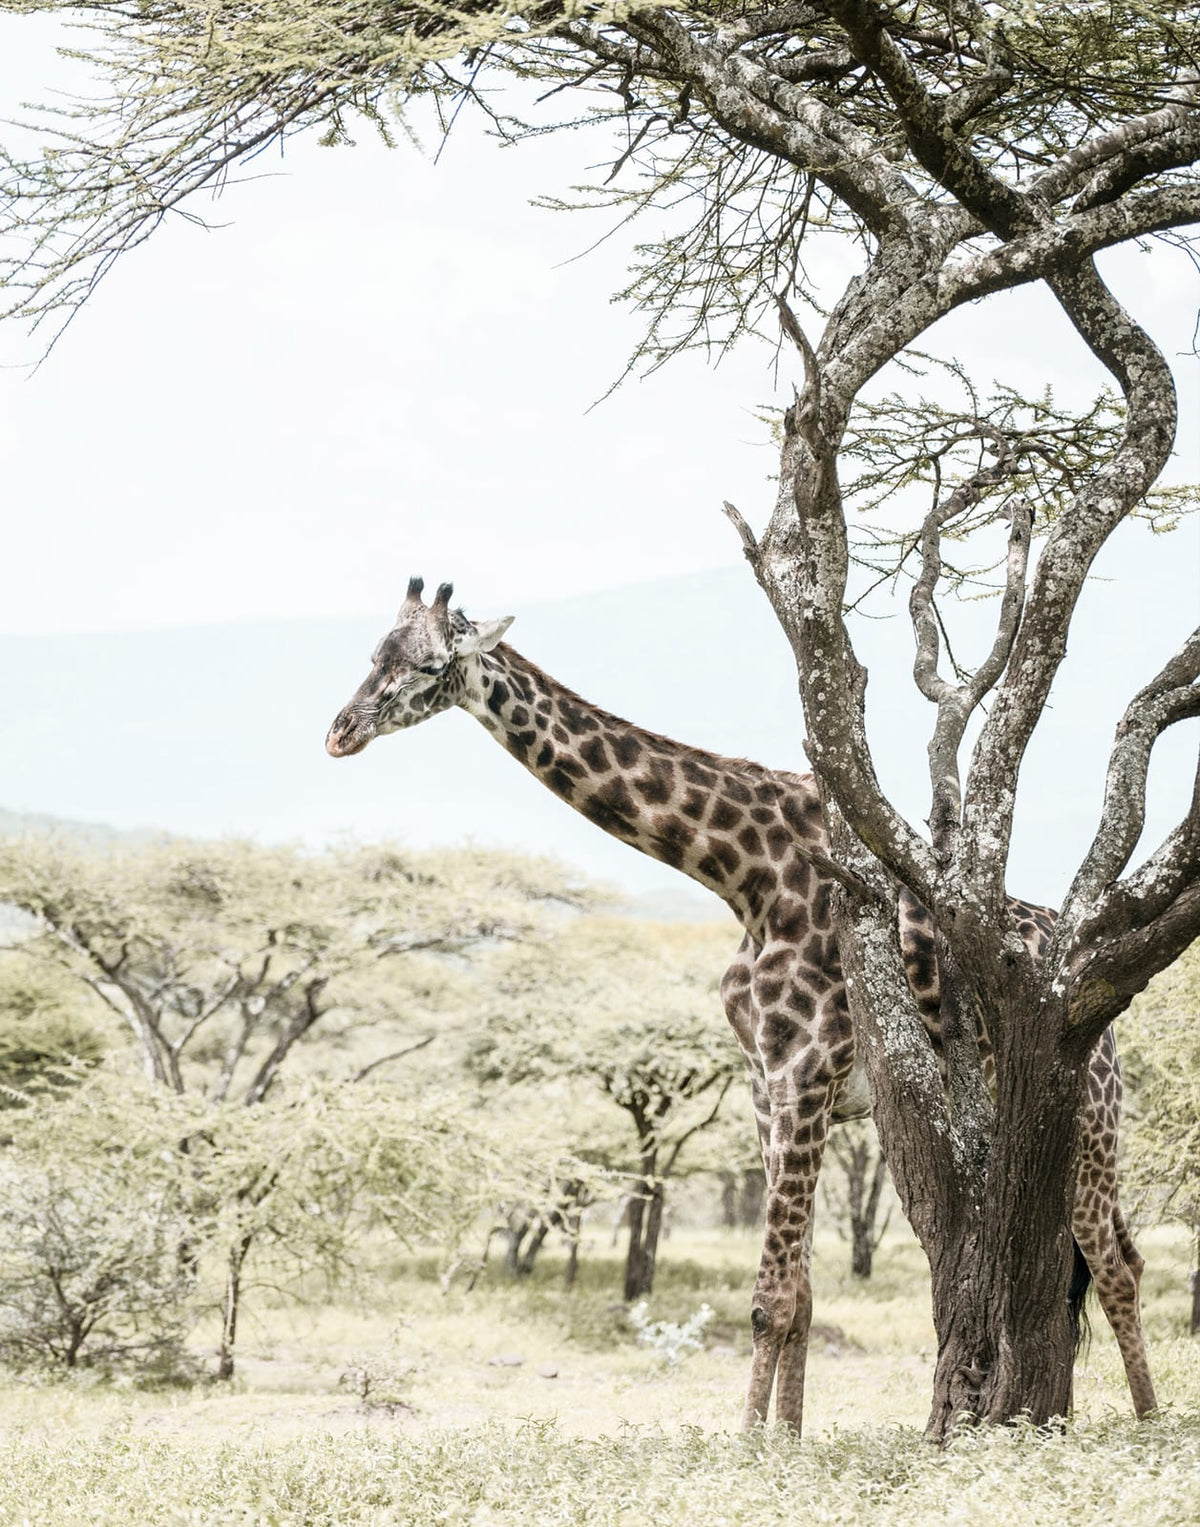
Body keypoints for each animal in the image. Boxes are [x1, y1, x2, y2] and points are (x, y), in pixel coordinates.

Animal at [325, 578, 1156, 1432]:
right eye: (374, 652)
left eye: (430, 664)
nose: (340, 732)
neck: (740, 874)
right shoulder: (764, 1081)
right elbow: (802, 1294)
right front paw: (785, 1435)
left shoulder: (807, 1070)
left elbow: (769, 1297)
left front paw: (748, 1444)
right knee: (1108, 1253)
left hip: (1087, 1109)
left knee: (1116, 1260)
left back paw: (1150, 1423)